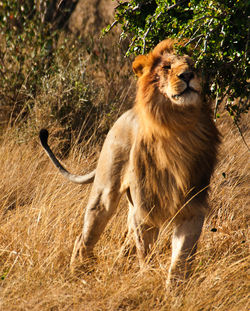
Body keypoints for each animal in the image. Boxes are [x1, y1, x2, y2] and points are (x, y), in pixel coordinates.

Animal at [38, 38, 220, 286]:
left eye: (193, 65)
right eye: (166, 67)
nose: (188, 75)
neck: (177, 129)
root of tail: (123, 116)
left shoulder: (192, 210)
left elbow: (180, 262)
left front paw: (173, 290)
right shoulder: (145, 213)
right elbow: (146, 255)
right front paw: (147, 281)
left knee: (124, 245)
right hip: (104, 196)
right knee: (84, 239)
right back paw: (76, 275)